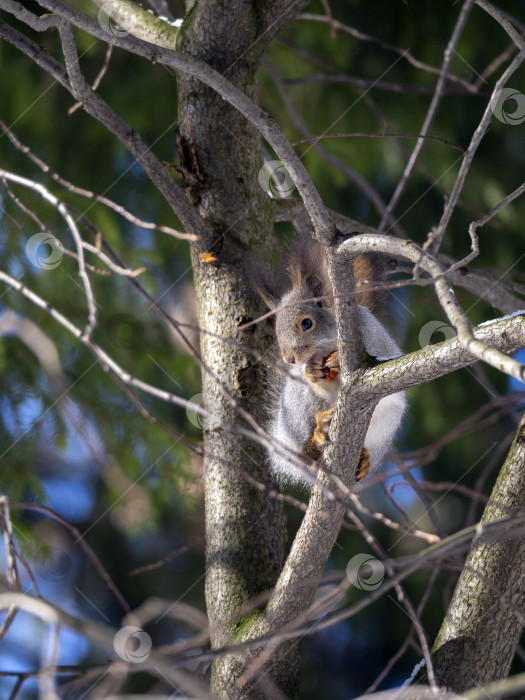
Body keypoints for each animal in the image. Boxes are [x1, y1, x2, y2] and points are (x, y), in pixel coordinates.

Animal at [253, 235, 406, 486]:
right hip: (295, 410)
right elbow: (315, 380)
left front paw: (336, 361)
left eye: (306, 323)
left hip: (384, 425)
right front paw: (312, 373)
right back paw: (316, 436)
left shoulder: (373, 337)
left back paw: (364, 460)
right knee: (307, 449)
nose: (289, 359)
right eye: (276, 329)